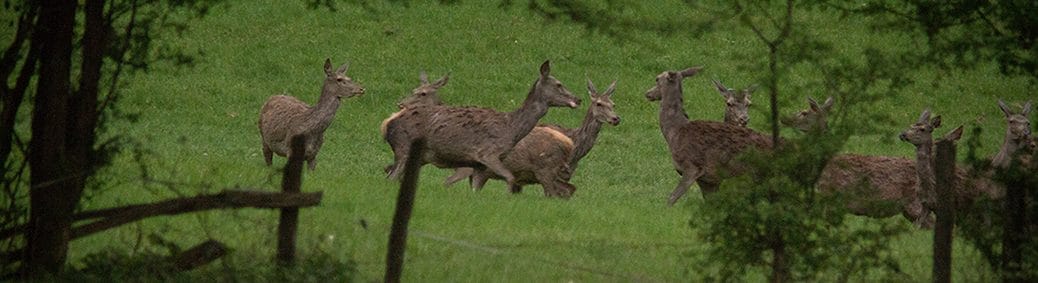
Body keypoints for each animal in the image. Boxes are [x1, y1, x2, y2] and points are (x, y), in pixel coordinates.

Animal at [384, 59, 585, 189]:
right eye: (559, 84)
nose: (578, 99)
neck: (511, 128)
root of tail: (386, 125)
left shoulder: (478, 166)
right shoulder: (487, 154)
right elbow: (510, 178)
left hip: (421, 157)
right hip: (404, 147)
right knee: (391, 177)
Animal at [643, 67, 776, 206]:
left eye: (657, 79)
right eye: (729, 103)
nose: (648, 93)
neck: (675, 132)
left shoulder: (692, 166)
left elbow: (671, 199)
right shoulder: (709, 180)